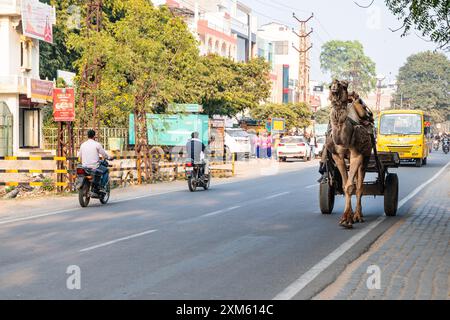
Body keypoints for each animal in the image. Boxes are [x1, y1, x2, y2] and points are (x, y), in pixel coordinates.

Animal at [324, 80, 372, 229]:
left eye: (344, 85)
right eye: (330, 85)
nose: (335, 85)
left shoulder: (357, 155)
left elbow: (351, 187)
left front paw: (348, 219)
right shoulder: (337, 157)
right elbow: (345, 186)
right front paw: (346, 217)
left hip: (366, 155)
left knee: (360, 186)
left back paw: (359, 215)